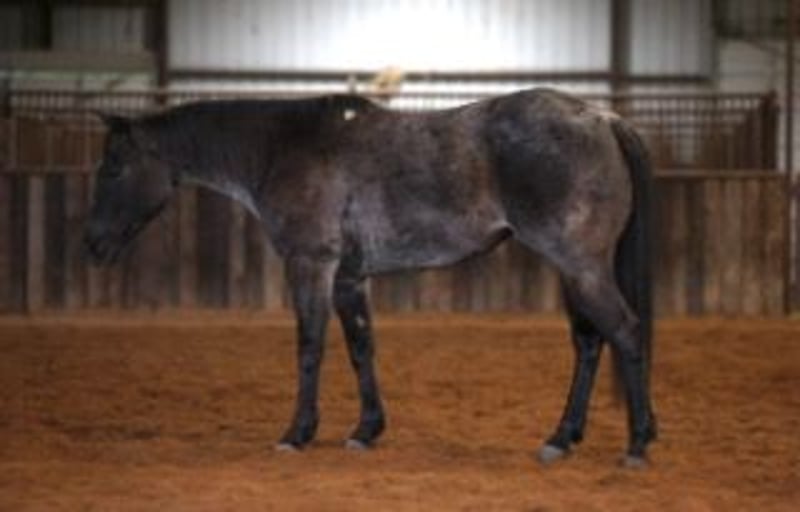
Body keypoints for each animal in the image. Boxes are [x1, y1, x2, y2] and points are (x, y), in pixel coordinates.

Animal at [83, 88, 657, 467]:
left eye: (112, 169)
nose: (92, 246)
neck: (283, 147)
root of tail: (602, 117)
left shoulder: (311, 264)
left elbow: (310, 345)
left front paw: (297, 433)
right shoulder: (349, 277)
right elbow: (361, 346)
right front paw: (365, 430)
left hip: (580, 267)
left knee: (626, 333)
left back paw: (637, 444)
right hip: (574, 271)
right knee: (589, 342)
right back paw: (562, 438)